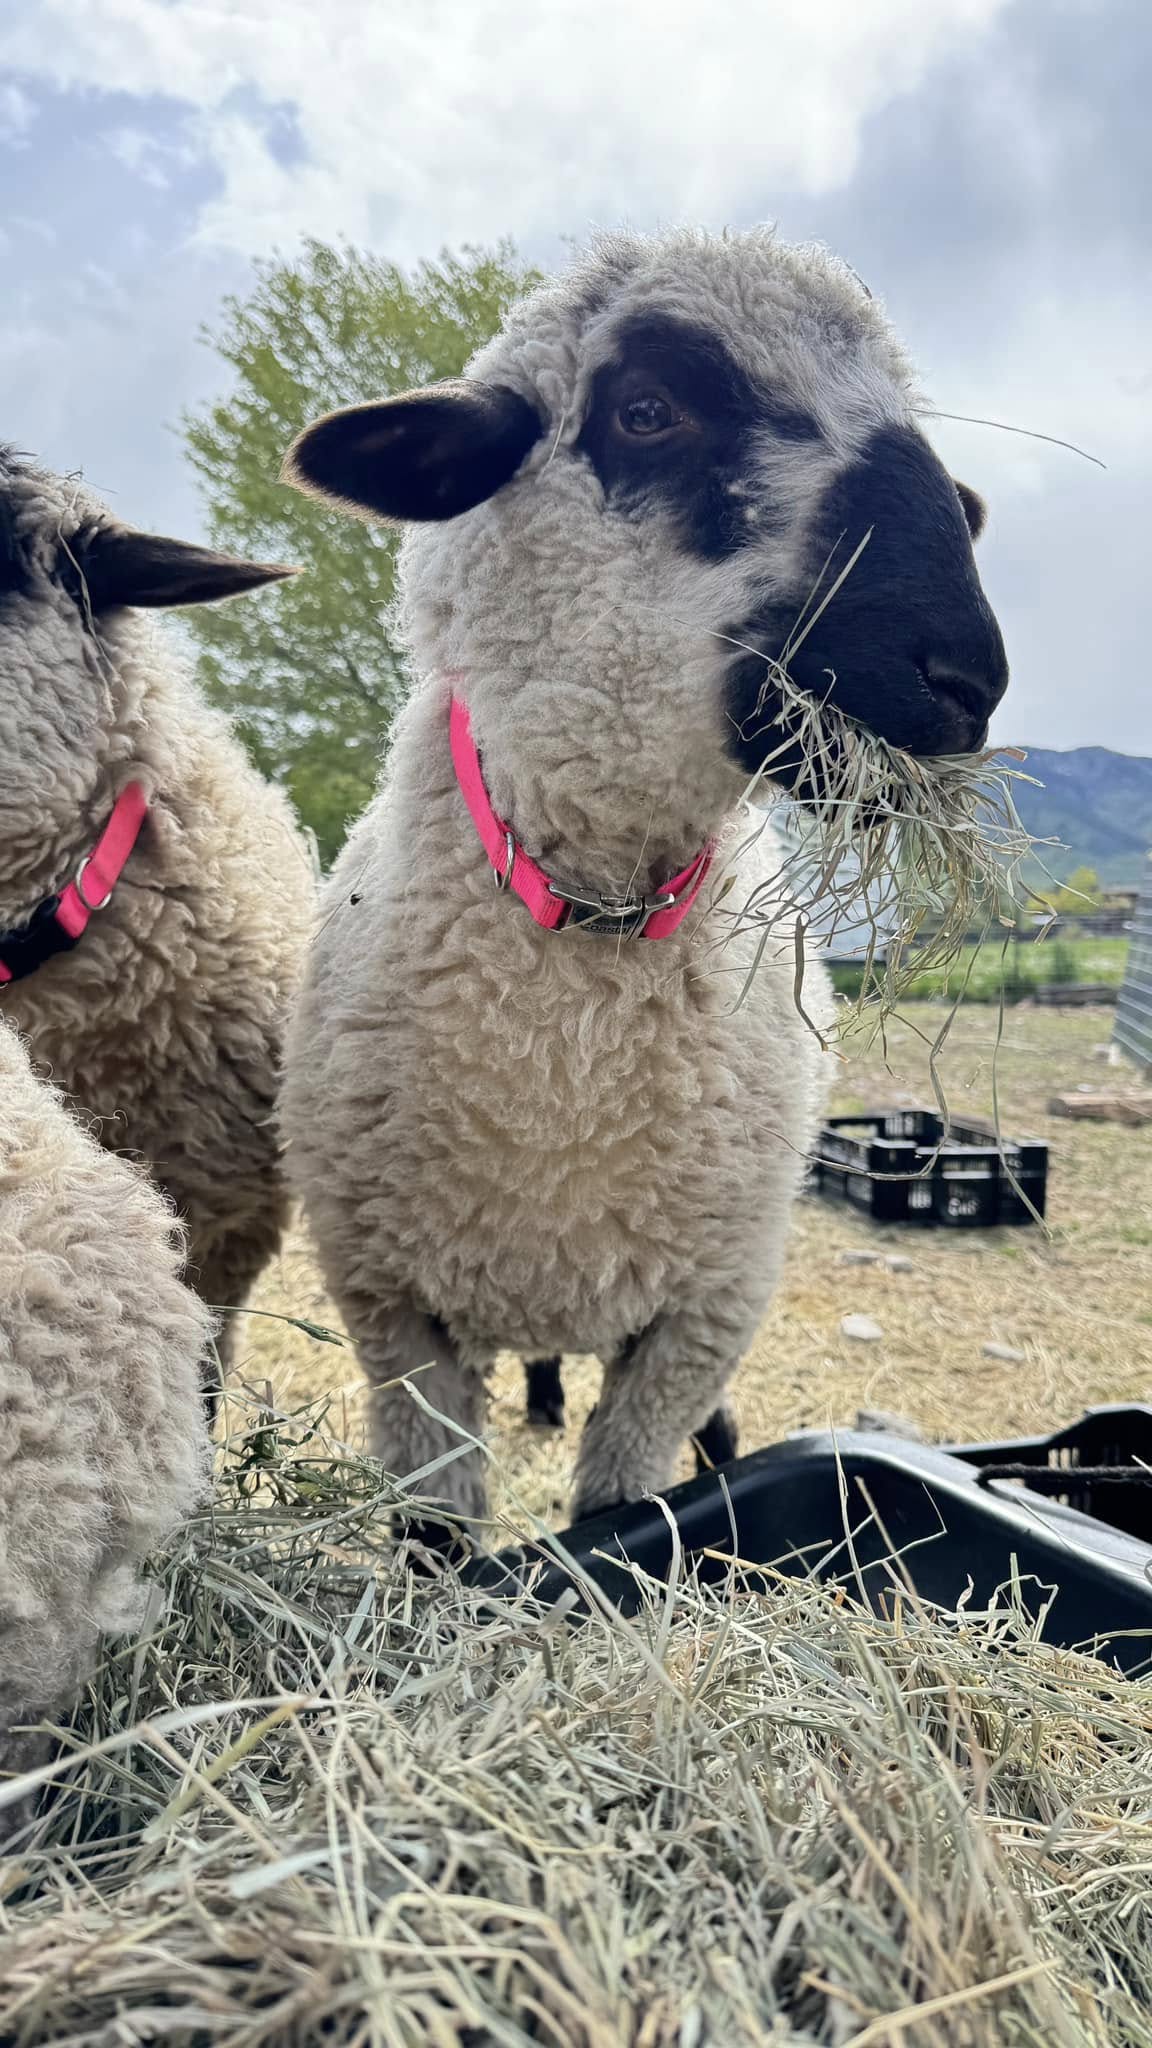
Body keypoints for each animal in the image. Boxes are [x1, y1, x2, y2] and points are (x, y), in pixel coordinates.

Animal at [279, 225, 1008, 1537]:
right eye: (650, 408)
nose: (967, 679)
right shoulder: (395, 1312)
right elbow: (436, 1535)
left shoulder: (696, 1316)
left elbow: (623, 1513)